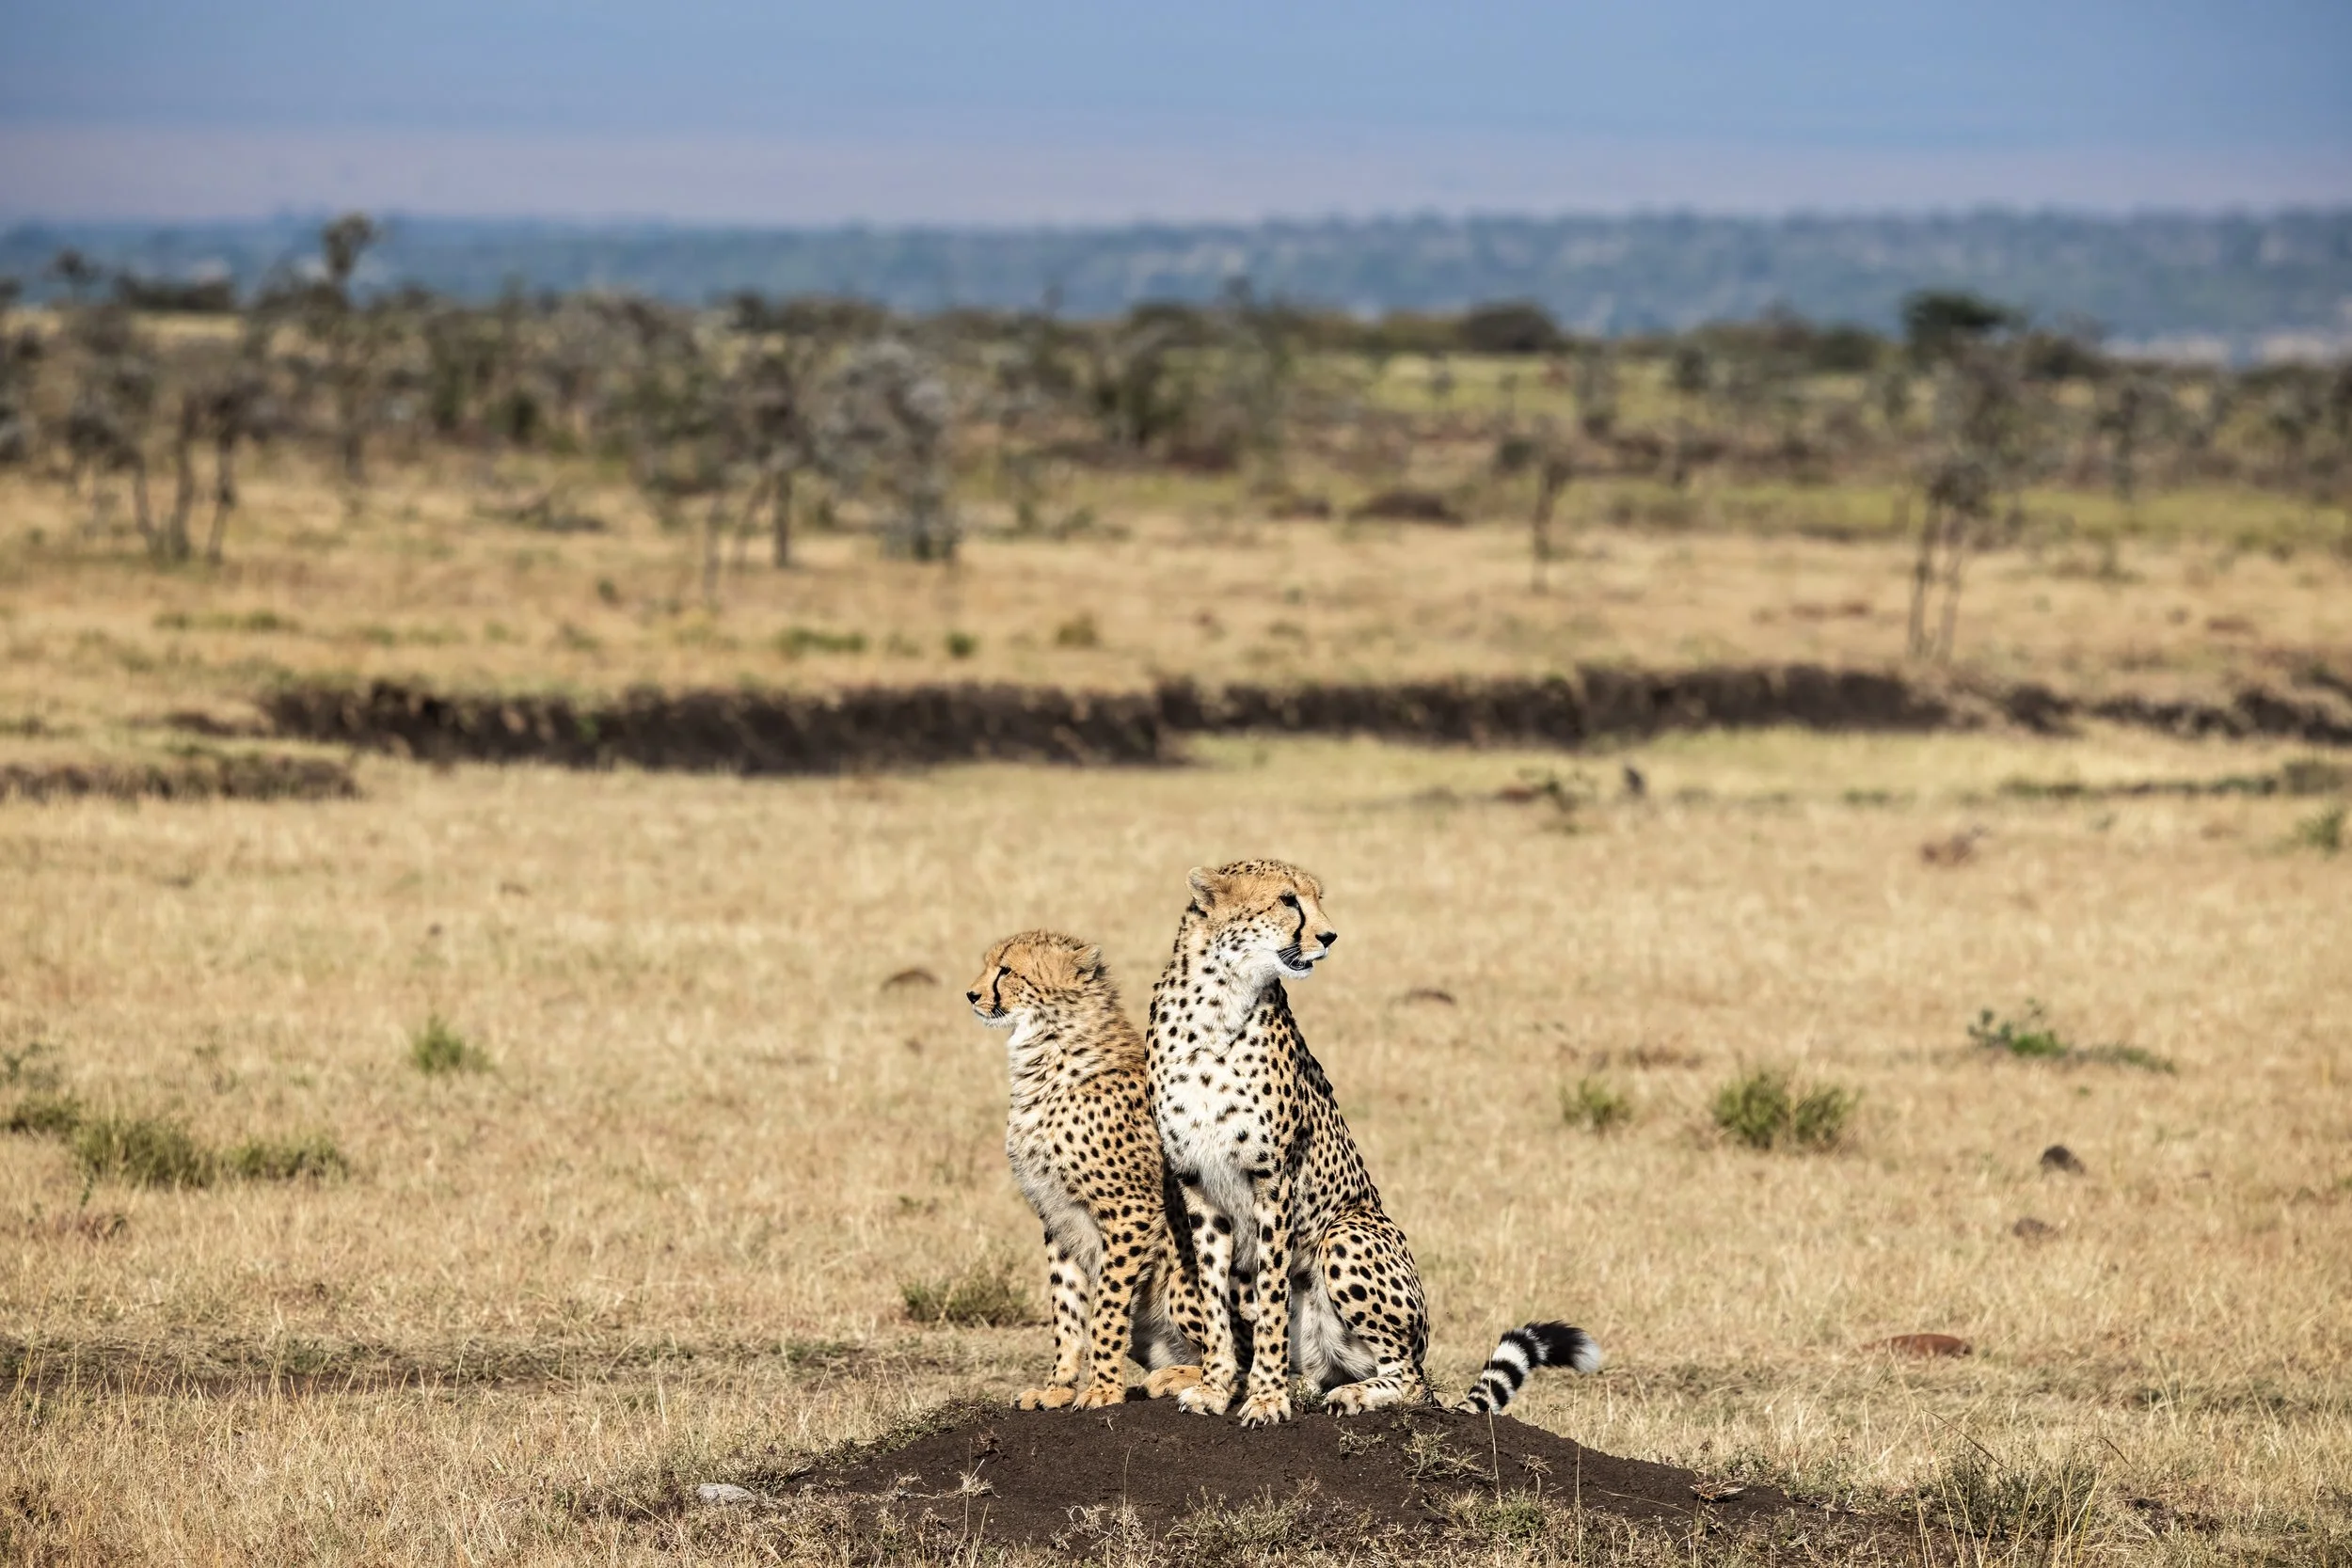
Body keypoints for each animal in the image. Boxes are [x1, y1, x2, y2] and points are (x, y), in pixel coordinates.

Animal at [966, 929, 1207, 1410]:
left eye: (1006, 970)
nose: (972, 994)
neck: (1048, 1050)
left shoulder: (1131, 1211)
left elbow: (1106, 1307)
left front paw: (1102, 1389)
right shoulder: (1057, 1215)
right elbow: (1067, 1307)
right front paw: (1057, 1387)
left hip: (1181, 1279)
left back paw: (1176, 1380)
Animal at [1146, 860, 1602, 1428]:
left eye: (1317, 898)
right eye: (1287, 900)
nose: (1329, 936)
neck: (1216, 1005)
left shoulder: (1272, 1179)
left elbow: (1271, 1300)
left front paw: (1266, 1398)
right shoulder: (1198, 1182)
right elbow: (1214, 1297)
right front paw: (1214, 1387)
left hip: (1348, 1231)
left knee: (1410, 1381)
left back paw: (1351, 1394)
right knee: (1328, 1373)